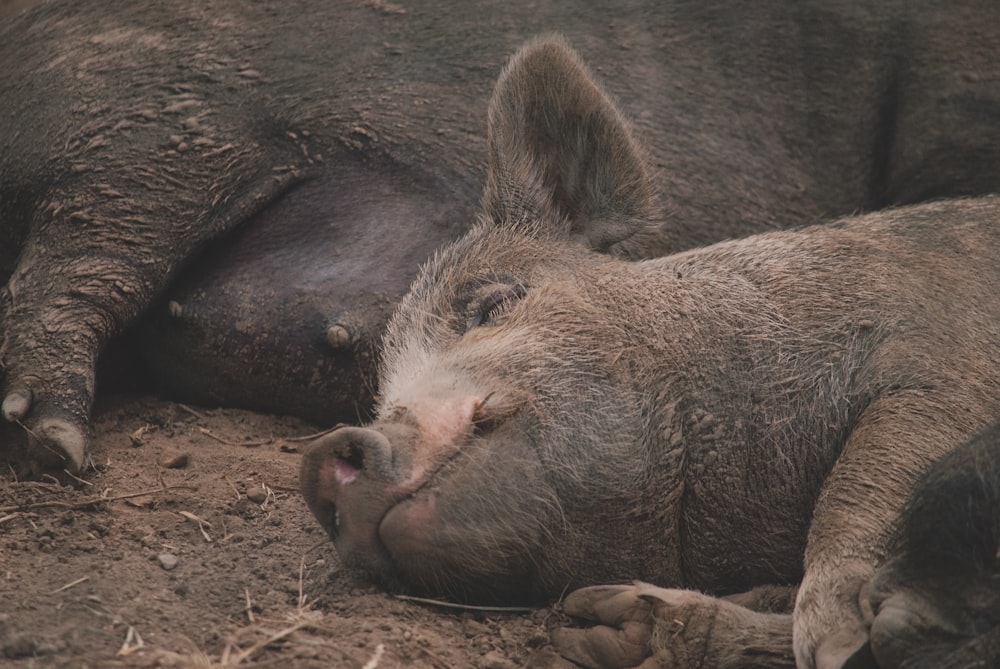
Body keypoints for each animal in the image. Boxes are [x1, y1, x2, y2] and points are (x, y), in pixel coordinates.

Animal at [300, 37, 1000, 668]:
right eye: (382, 393)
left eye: (492, 306)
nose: (322, 453)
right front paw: (591, 624)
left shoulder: (941, 354)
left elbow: (867, 469)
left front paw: (833, 642)